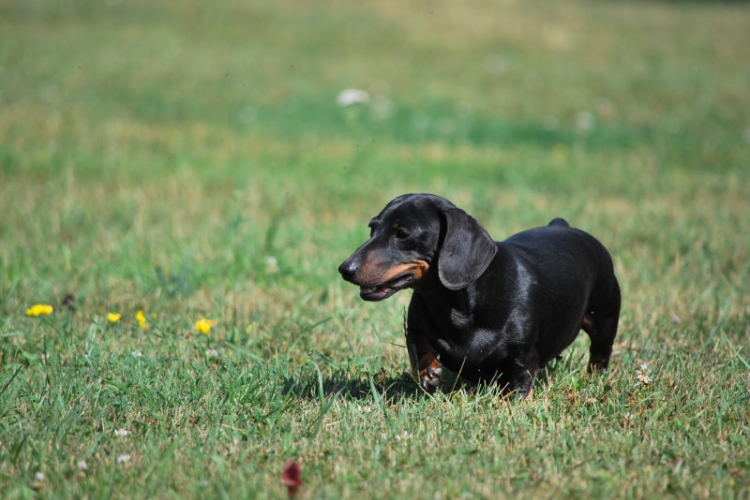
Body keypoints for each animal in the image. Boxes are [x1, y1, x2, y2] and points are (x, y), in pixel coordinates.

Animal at [340, 193, 624, 396]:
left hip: (605, 317)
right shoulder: (415, 326)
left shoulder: (522, 357)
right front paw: (429, 372)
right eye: (372, 229)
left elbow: (519, 385)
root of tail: (562, 225)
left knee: (600, 352)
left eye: (401, 233)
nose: (345, 269)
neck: (457, 307)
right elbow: (419, 346)